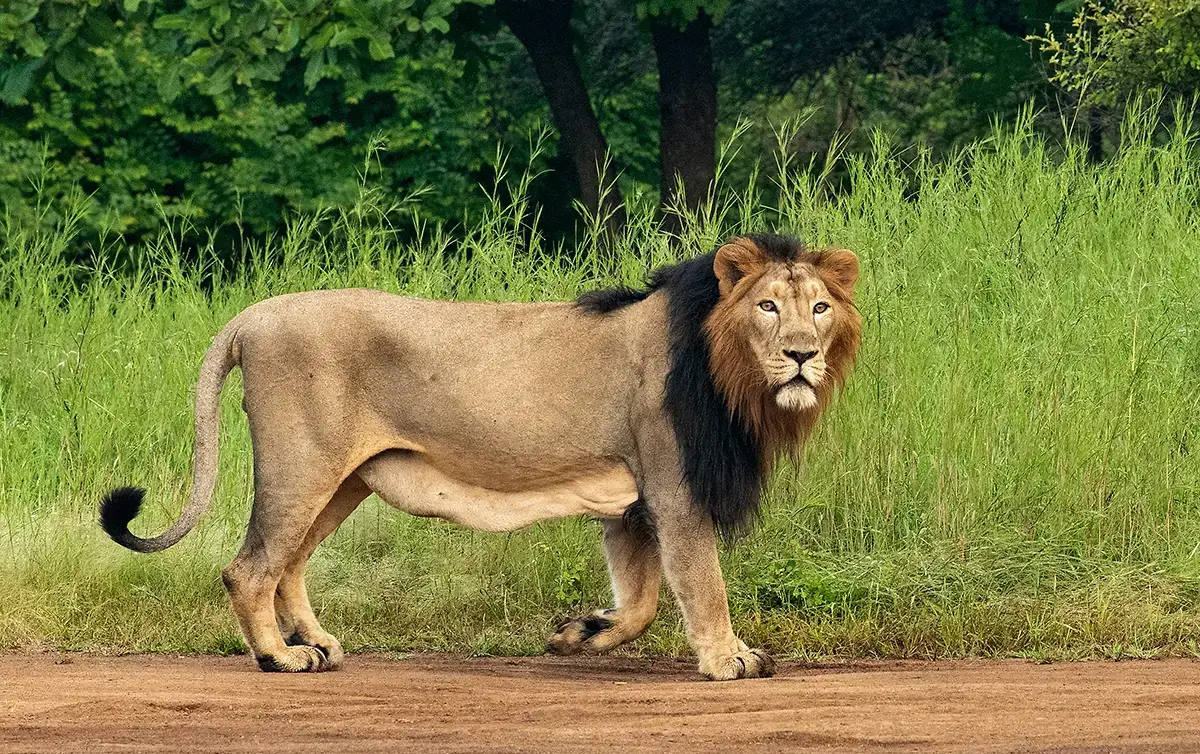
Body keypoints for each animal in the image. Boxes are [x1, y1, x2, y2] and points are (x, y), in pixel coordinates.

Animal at [98, 232, 859, 681]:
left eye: (819, 308)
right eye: (768, 307)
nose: (802, 355)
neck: (731, 374)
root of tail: (250, 316)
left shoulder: (632, 502)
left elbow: (640, 601)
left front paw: (579, 634)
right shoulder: (674, 486)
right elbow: (703, 581)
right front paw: (729, 659)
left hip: (343, 481)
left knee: (289, 564)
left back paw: (318, 644)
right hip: (301, 465)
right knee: (250, 567)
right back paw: (279, 658)